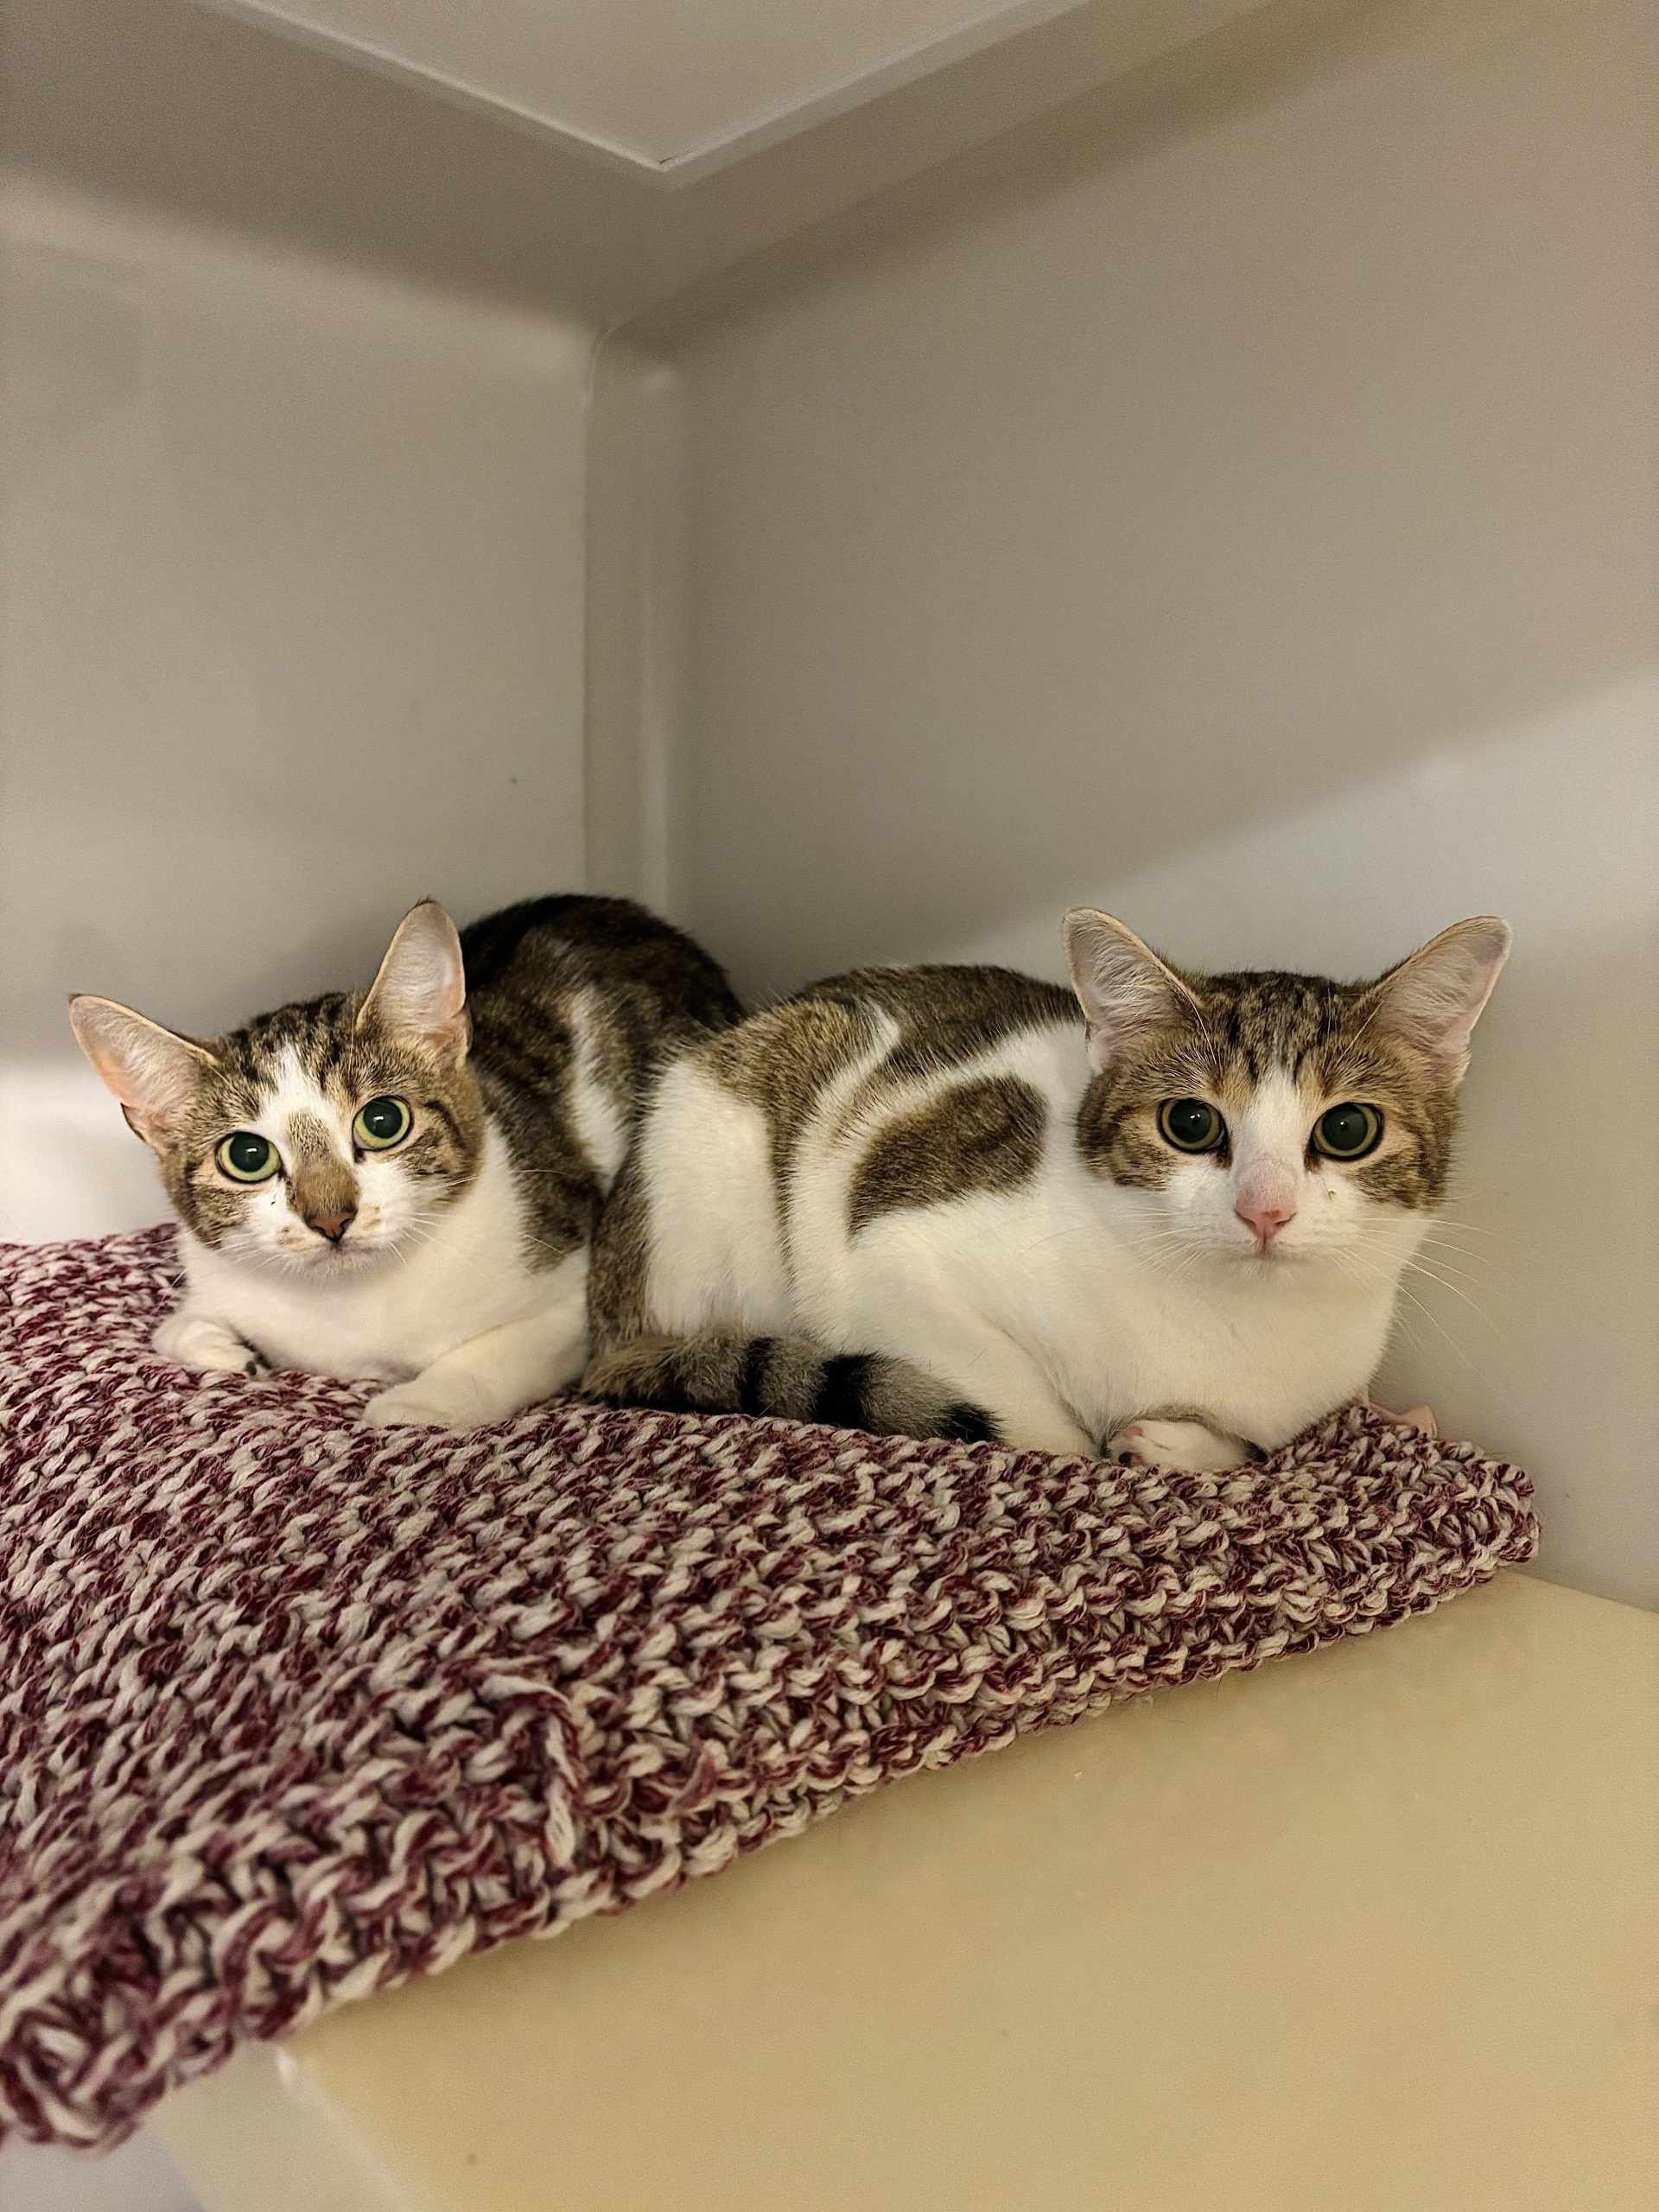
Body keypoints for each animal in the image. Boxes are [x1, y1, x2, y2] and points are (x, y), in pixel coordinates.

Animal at [76, 898, 739, 1433]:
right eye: (247, 1156)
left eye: (382, 1120)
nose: (331, 1217)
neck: (354, 1310)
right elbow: (172, 1331)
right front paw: (227, 1346)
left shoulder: (576, 1286)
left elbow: (499, 1352)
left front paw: (417, 1402)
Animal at [579, 906, 1503, 1478]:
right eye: (1190, 1123)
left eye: (1347, 1130)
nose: (1264, 1209)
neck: (1230, 1323)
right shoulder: (888, 1258)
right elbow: (1032, 1415)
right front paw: (1089, 1444)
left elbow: (1253, 1442)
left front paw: (1177, 1445)